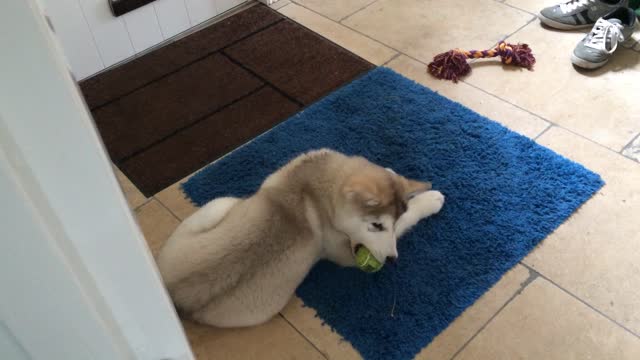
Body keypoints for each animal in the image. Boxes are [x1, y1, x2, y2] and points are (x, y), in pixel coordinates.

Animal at [156, 148, 444, 328]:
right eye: (376, 225)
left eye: (389, 224)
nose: (393, 260)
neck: (316, 188)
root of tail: (174, 295)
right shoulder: (343, 254)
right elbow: (411, 216)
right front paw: (431, 200)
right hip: (223, 203)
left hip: (217, 207)